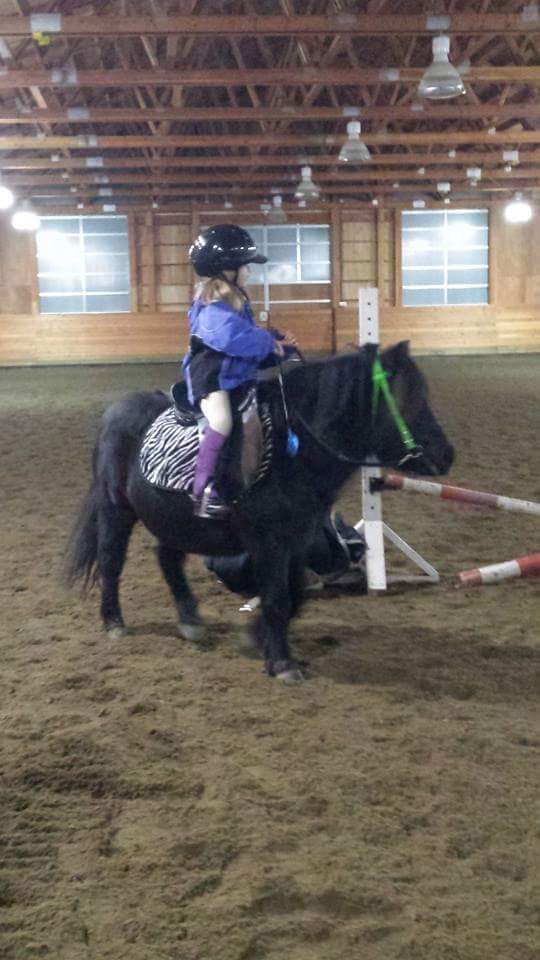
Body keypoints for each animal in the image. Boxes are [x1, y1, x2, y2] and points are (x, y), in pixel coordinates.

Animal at [64, 342, 454, 682]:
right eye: (410, 399)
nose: (447, 455)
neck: (292, 449)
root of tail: (116, 410)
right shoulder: (270, 543)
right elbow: (278, 597)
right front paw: (282, 663)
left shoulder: (297, 539)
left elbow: (294, 592)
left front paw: (257, 636)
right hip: (116, 509)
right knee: (112, 560)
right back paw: (114, 622)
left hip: (176, 520)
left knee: (167, 558)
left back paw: (190, 620)